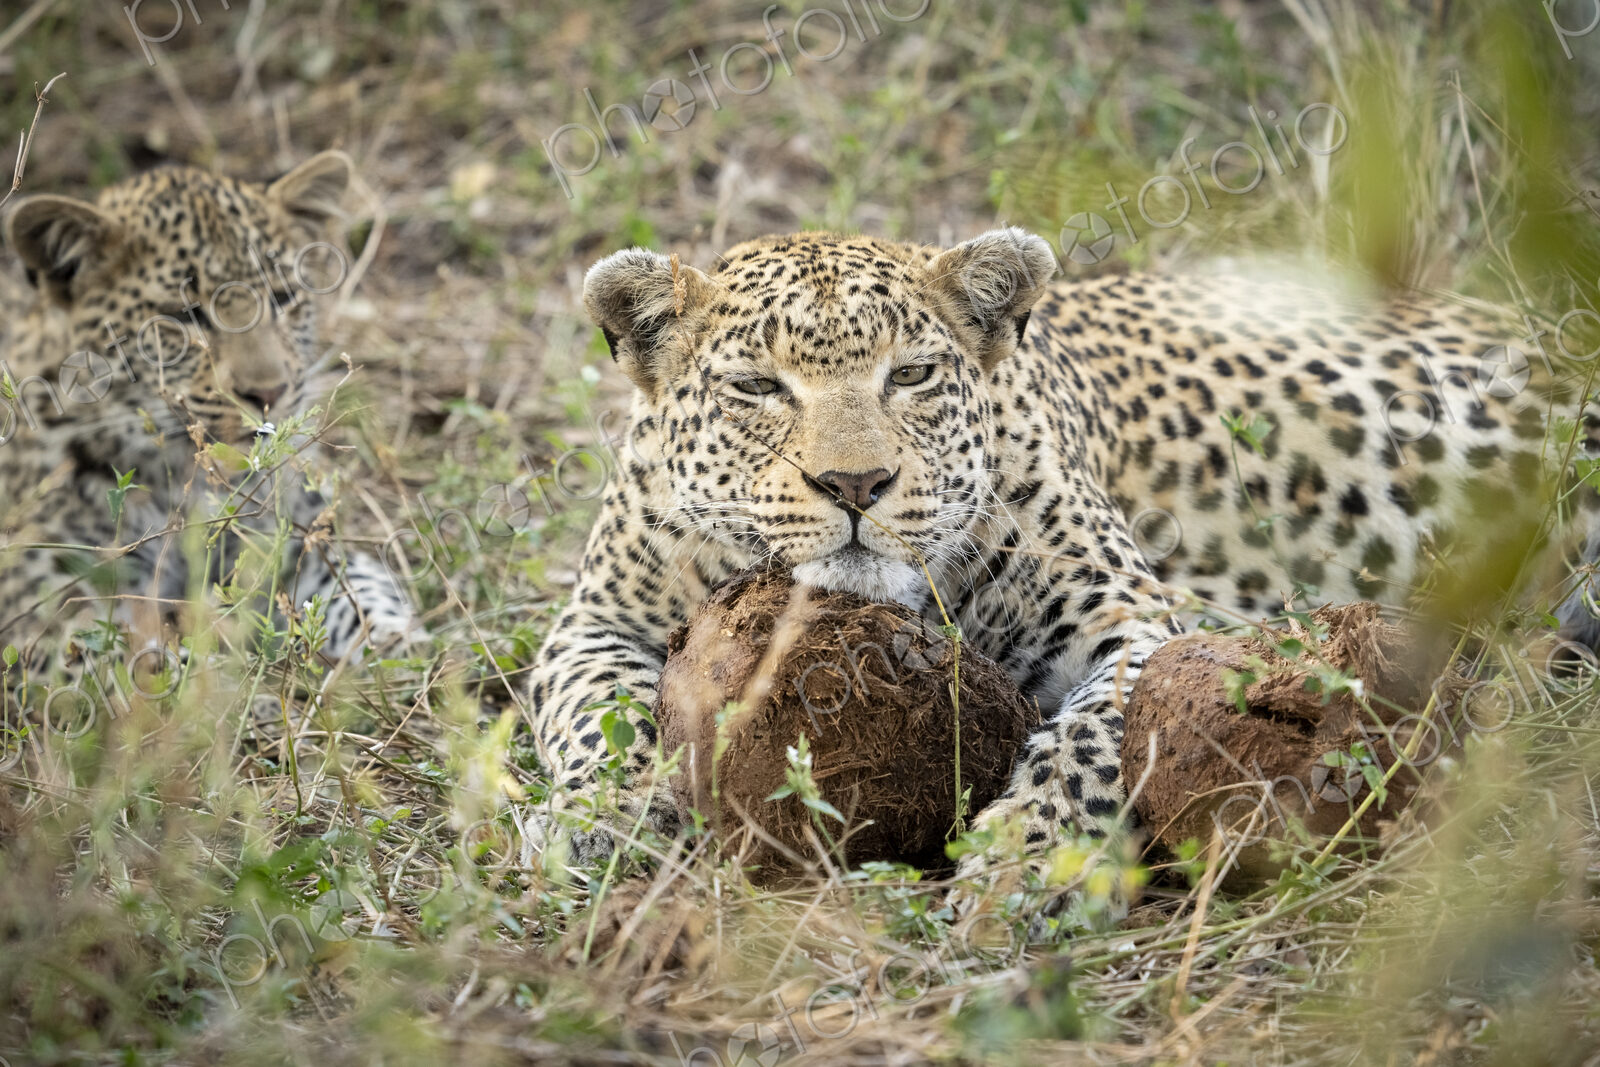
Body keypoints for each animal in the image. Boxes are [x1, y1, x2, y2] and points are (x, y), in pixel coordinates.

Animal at [0, 152, 422, 699]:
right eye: (184, 315)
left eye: (283, 297)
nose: (268, 392)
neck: (189, 480)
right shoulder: (43, 587)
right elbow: (109, 659)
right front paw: (211, 692)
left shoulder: (296, 542)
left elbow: (363, 590)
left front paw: (406, 652)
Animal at [524, 227, 1600, 904]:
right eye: (756, 386)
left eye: (912, 374)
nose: (856, 483)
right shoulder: (591, 624)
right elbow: (600, 717)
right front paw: (605, 822)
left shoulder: (1133, 623)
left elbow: (1092, 741)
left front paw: (1027, 863)